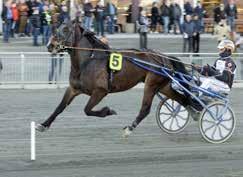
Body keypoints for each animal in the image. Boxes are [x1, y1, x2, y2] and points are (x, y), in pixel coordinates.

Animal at [35, 20, 190, 137]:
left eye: (66, 29)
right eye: (58, 28)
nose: (50, 46)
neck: (88, 61)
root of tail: (165, 58)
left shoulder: (100, 91)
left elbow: (87, 110)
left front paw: (108, 111)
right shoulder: (73, 89)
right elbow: (59, 107)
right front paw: (43, 125)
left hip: (151, 84)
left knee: (145, 109)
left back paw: (129, 129)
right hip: (163, 86)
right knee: (183, 100)